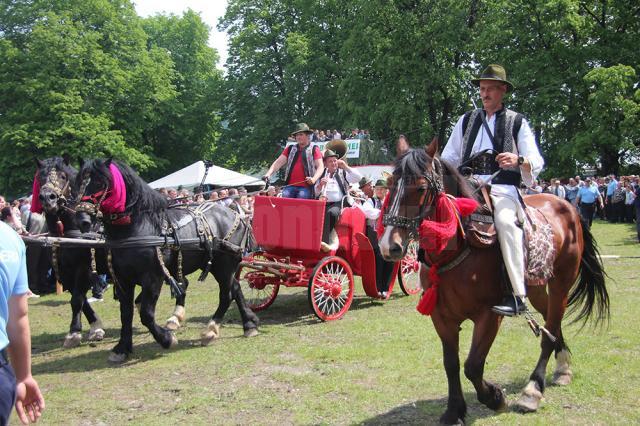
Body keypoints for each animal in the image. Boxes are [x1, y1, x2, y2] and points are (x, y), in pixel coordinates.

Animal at [33, 158, 107, 348]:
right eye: (41, 176)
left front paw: (74, 333)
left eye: (63, 176)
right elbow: (79, 298)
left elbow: (77, 299)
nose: (48, 198)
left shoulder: (83, 268)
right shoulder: (63, 271)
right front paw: (95, 327)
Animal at [73, 158, 258, 362]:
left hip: (224, 264)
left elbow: (146, 314)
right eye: (78, 182)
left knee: (226, 295)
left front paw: (167, 339)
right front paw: (122, 348)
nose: (82, 220)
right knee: (236, 288)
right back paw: (249, 324)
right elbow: (126, 313)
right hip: (221, 265)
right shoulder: (123, 279)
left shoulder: (153, 277)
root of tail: (235, 214)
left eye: (101, 183)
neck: (140, 227)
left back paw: (210, 330)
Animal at [380, 141, 608, 424]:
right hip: (535, 287)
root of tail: (568, 206)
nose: (389, 246)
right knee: (550, 323)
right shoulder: (442, 316)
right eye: (390, 185)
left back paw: (533, 390)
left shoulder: (489, 315)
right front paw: (454, 410)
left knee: (549, 330)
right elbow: (451, 364)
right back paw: (563, 366)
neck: (461, 246)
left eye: (421, 188)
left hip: (560, 283)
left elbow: (473, 365)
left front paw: (494, 397)